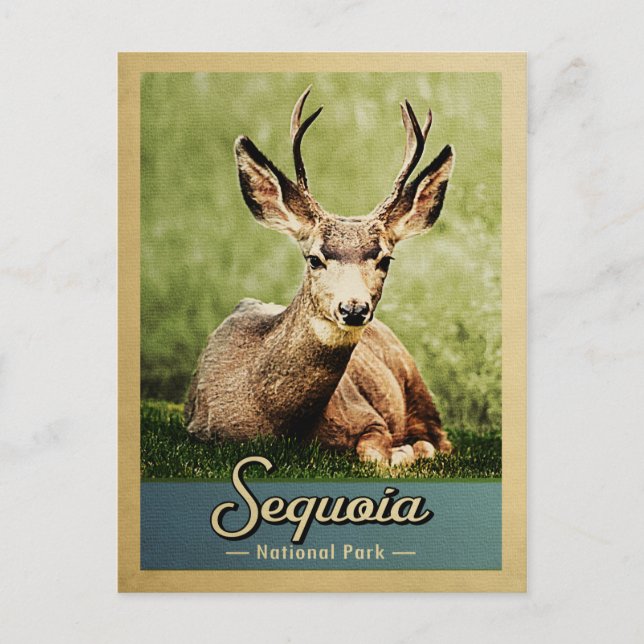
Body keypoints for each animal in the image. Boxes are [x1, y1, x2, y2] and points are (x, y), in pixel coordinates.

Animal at [185, 86, 454, 467]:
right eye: (314, 258)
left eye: (385, 259)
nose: (354, 308)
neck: (279, 425)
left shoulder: (369, 417)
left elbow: (376, 452)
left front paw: (403, 452)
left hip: (415, 382)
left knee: (441, 439)